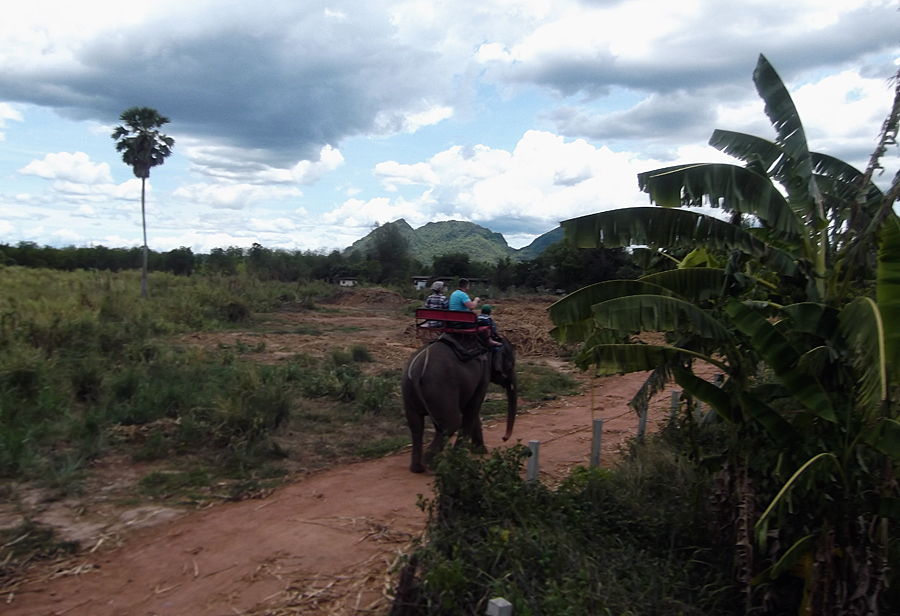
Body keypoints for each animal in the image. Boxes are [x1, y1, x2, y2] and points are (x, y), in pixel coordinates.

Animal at [402, 336, 520, 472]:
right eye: (511, 364)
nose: (504, 438)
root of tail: (416, 371)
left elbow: (471, 410)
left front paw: (480, 451)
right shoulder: (484, 375)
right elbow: (473, 408)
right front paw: (460, 457)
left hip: (409, 391)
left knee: (416, 426)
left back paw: (418, 468)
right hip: (439, 390)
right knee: (451, 424)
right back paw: (430, 465)